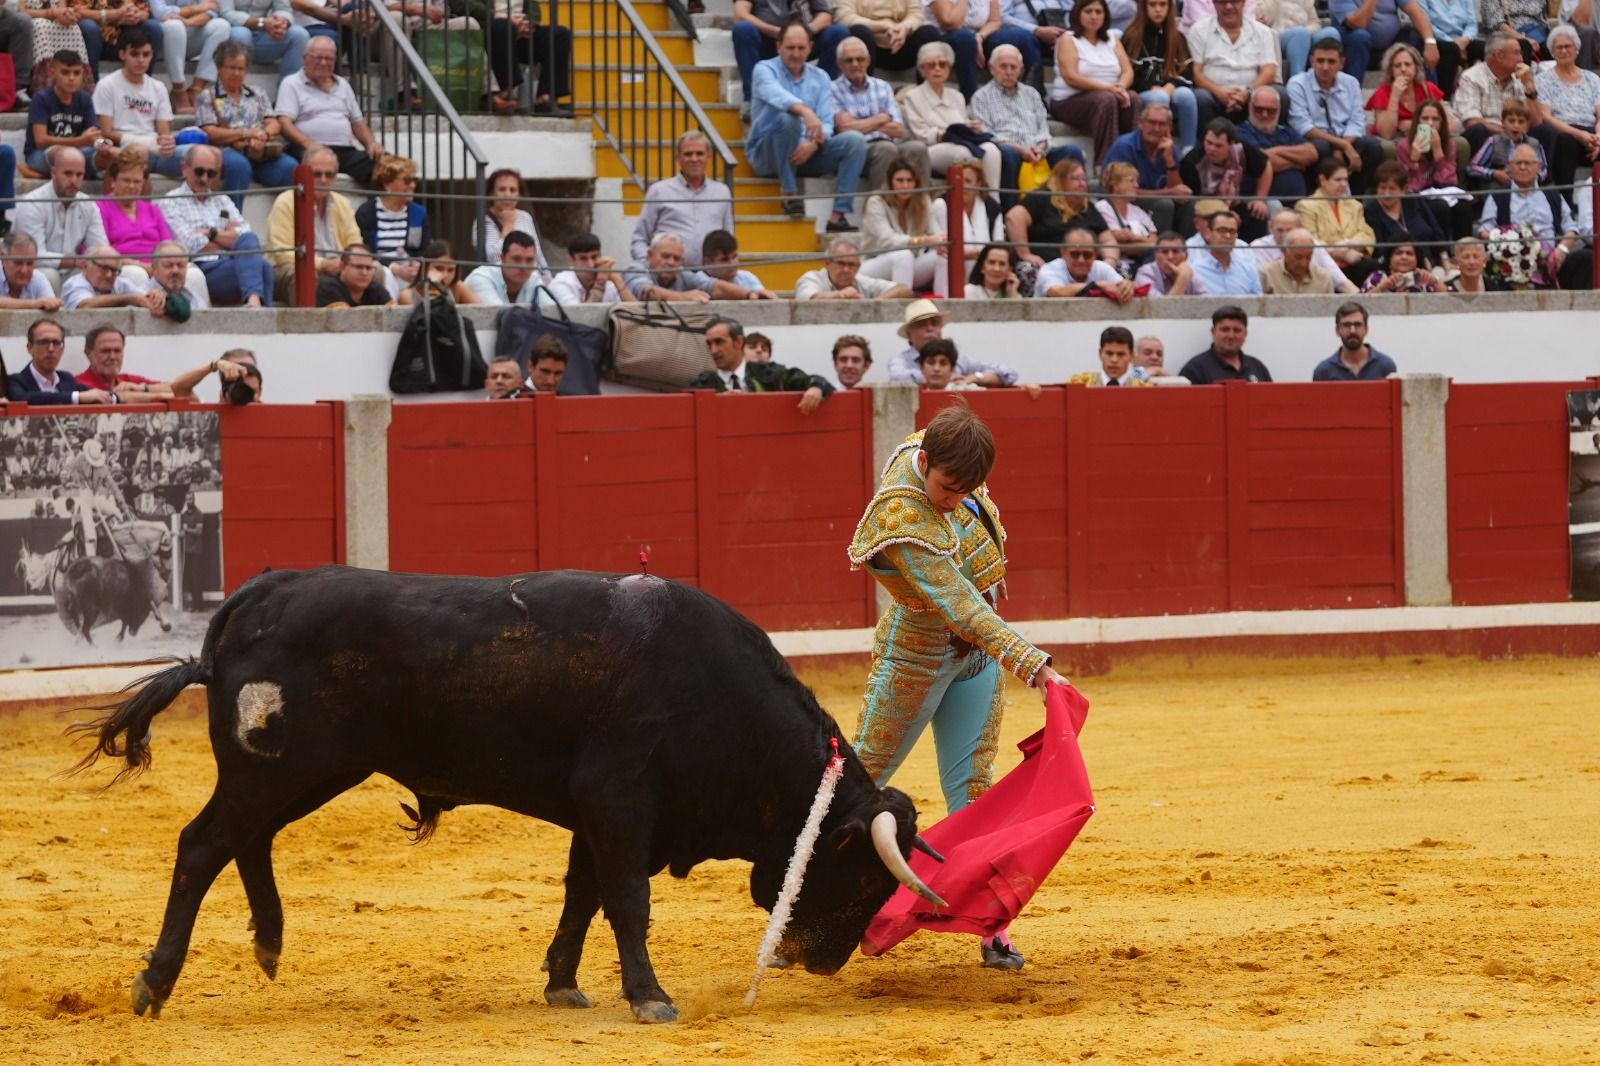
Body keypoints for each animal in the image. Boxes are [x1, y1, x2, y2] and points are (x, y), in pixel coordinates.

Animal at [75, 563, 940, 1024]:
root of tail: (260, 592)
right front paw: (650, 998)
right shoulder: (620, 798)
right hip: (277, 769)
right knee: (203, 845)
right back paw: (155, 984)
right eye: (863, 878)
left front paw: (563, 984)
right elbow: (627, 899)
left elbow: (583, 894)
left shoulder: (598, 812)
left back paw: (269, 945)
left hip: (299, 771)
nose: (823, 962)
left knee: (245, 841)